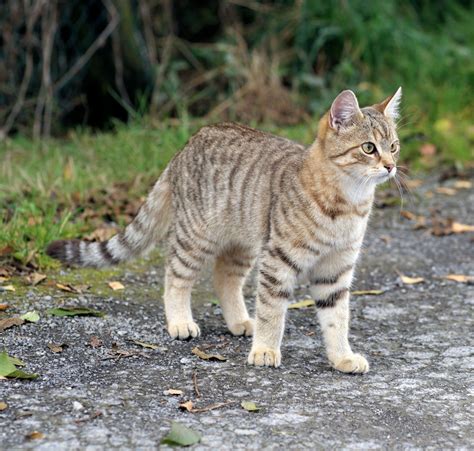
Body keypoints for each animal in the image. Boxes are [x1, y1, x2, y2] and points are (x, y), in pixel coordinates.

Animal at [48, 88, 402, 374]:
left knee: (224, 279)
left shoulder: (336, 270)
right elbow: (272, 311)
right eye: (369, 148)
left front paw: (342, 358)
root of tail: (185, 146)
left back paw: (239, 321)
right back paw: (180, 321)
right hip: (195, 237)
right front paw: (265, 349)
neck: (348, 204)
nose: (390, 166)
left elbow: (337, 319)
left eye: (394, 146)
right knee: (175, 277)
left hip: (242, 245)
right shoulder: (278, 261)